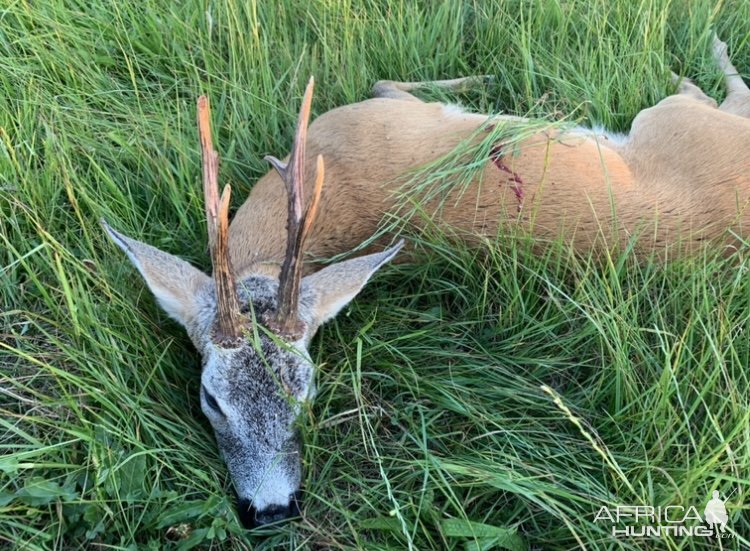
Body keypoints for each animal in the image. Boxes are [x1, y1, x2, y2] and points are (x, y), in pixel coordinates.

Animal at [104, 36, 750, 528]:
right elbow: (388, 80)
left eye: (308, 390)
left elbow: (384, 80)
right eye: (211, 398)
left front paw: (489, 78)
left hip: (671, 119)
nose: (273, 510)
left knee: (719, 97)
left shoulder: (373, 113)